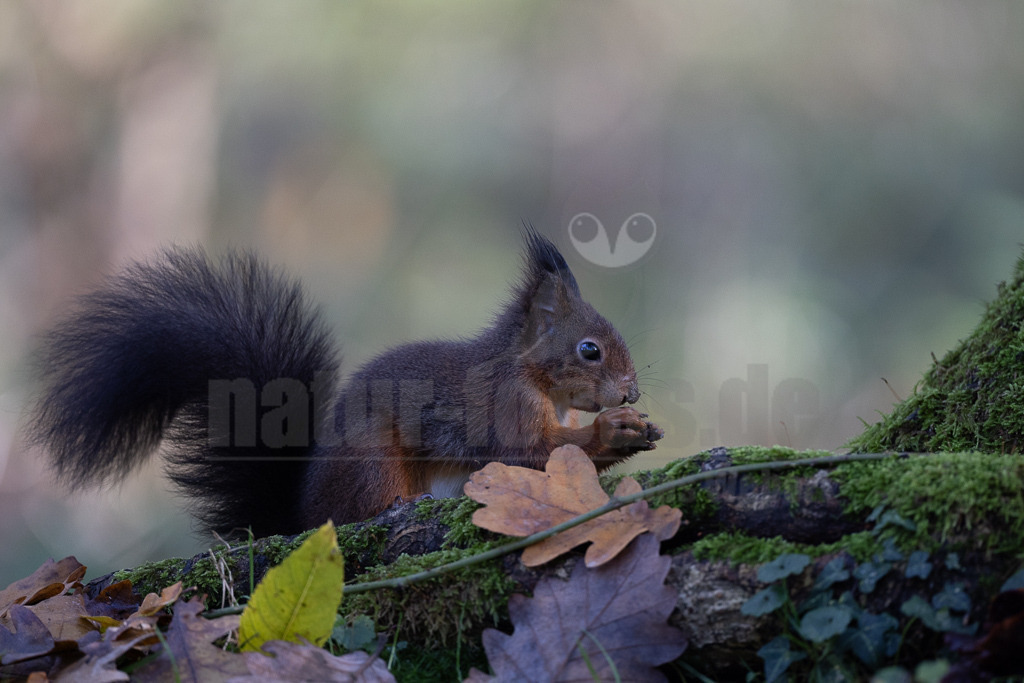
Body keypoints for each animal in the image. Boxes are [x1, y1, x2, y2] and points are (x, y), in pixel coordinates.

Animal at [30, 231, 663, 537]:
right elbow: (533, 450)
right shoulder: (500, 406)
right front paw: (614, 431)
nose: (631, 391)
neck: (526, 371)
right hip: (370, 462)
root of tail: (300, 518)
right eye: (589, 350)